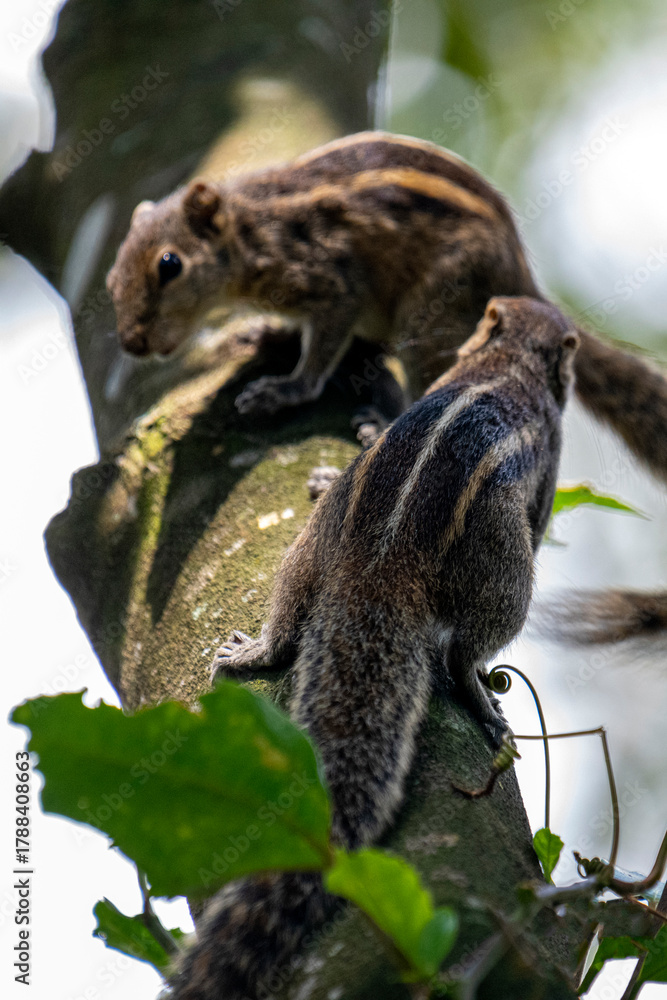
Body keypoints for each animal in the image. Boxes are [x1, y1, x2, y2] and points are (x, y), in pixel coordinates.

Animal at [168, 296, 579, 1000]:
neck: (510, 358)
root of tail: (381, 562)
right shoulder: (548, 456)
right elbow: (544, 507)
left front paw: (353, 441)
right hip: (503, 569)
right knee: (466, 648)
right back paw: (482, 699)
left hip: (313, 542)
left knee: (290, 610)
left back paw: (254, 651)